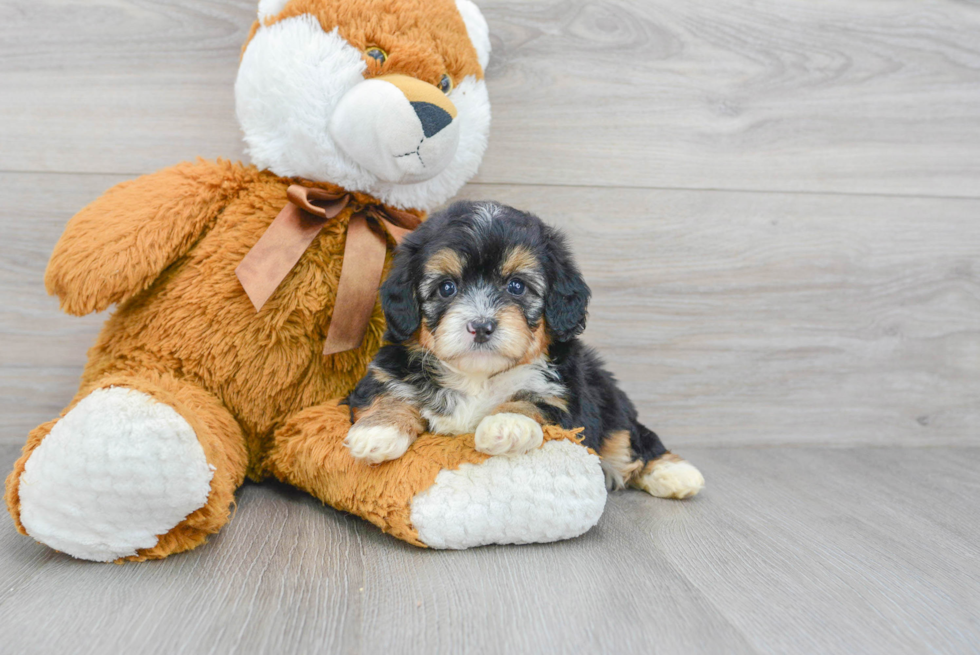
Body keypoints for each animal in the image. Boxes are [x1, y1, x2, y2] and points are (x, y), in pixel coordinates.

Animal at [344, 202, 704, 500]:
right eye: (447, 288)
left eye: (516, 286)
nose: (481, 326)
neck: (479, 375)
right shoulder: (383, 373)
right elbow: (388, 395)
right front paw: (377, 432)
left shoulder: (566, 398)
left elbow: (533, 401)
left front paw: (506, 423)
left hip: (609, 400)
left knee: (632, 439)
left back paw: (675, 472)